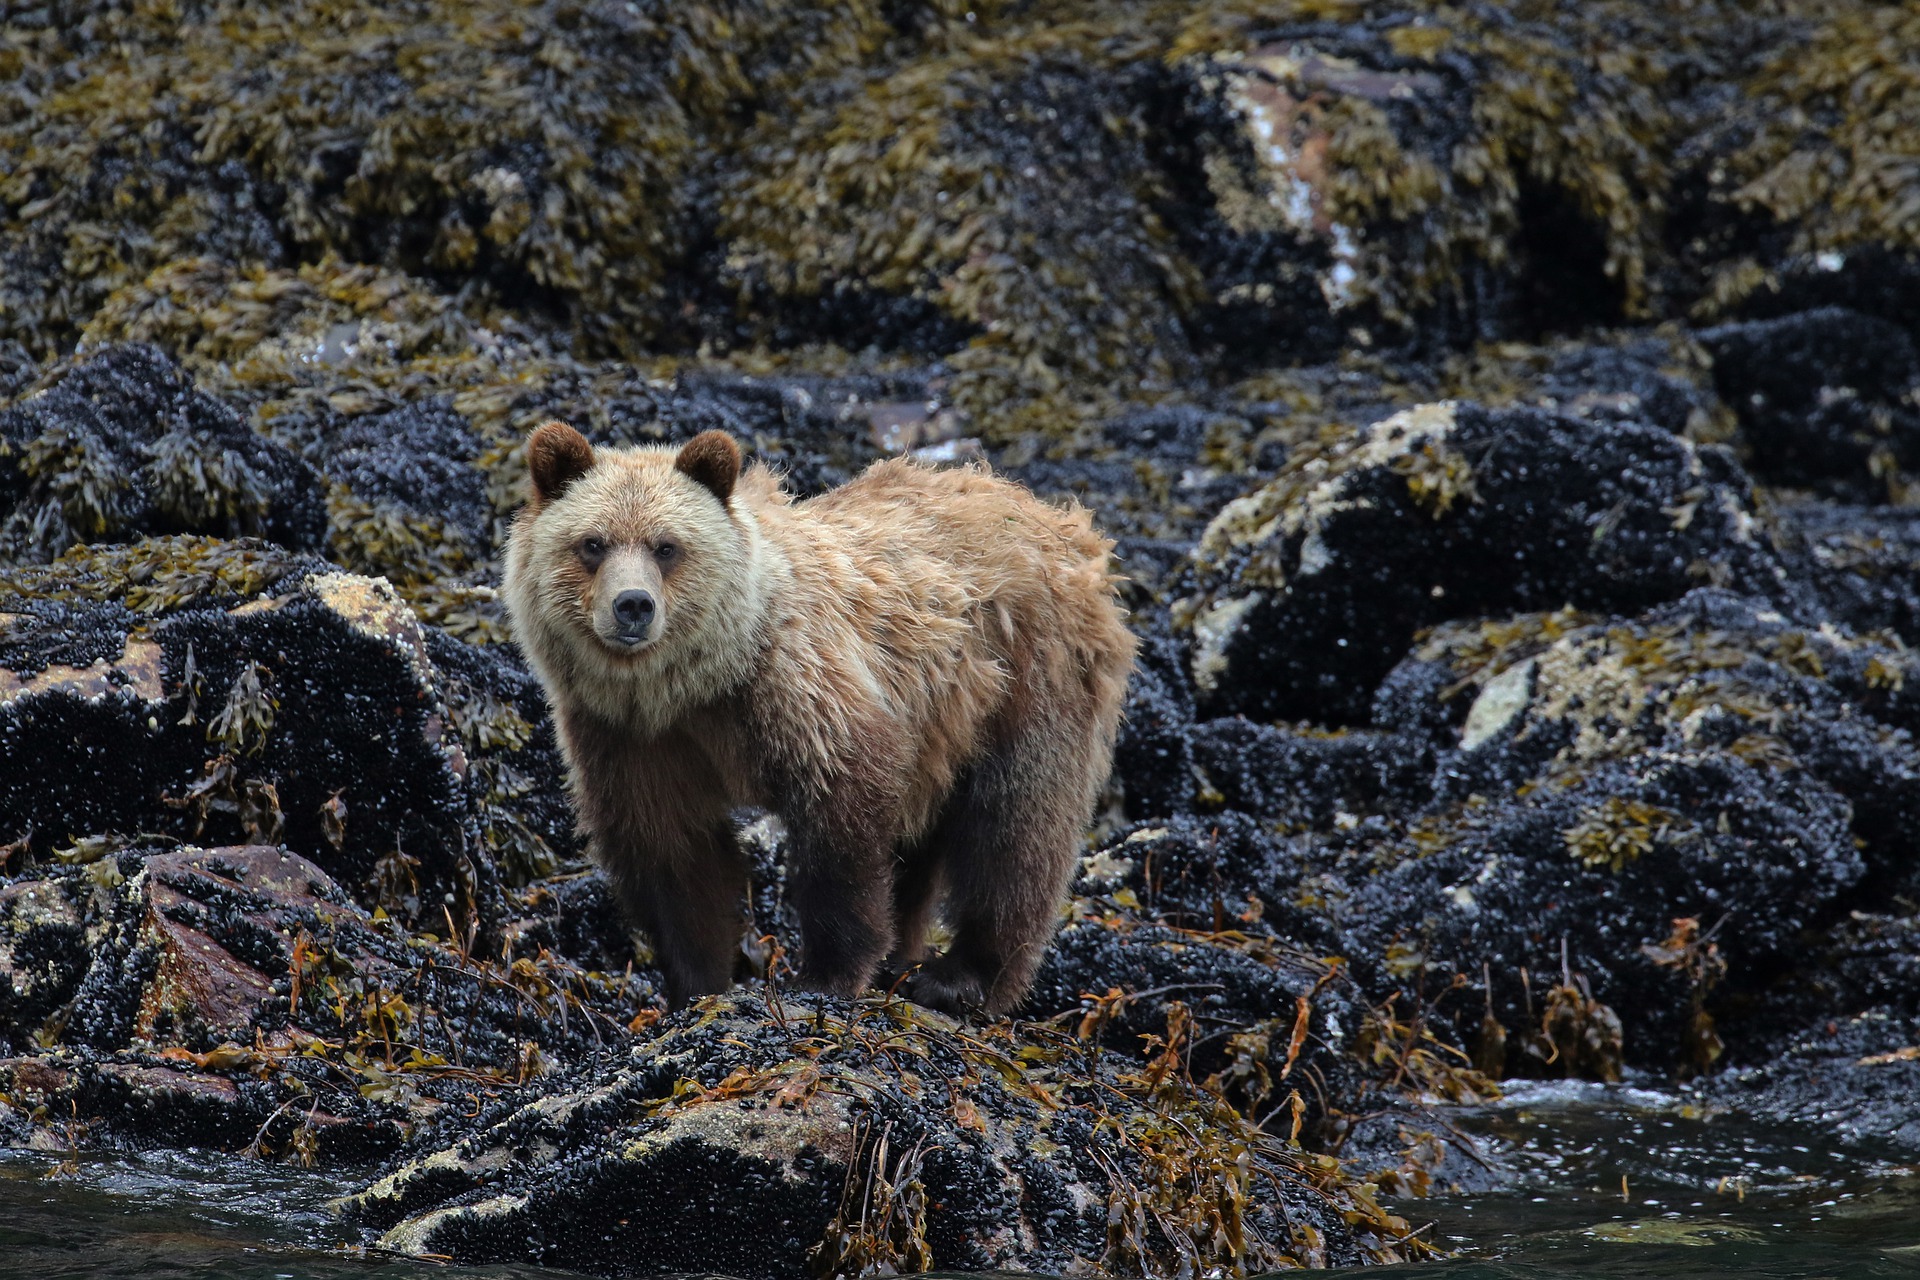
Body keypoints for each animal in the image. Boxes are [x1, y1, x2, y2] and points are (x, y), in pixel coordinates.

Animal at [499, 426, 1136, 1013]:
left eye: (666, 546)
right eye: (593, 543)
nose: (633, 605)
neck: (694, 686)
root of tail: (1066, 526)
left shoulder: (799, 690)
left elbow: (842, 822)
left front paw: (826, 976)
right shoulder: (630, 736)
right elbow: (672, 855)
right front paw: (698, 984)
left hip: (1024, 679)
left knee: (1015, 825)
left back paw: (962, 977)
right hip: (940, 732)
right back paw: (907, 956)